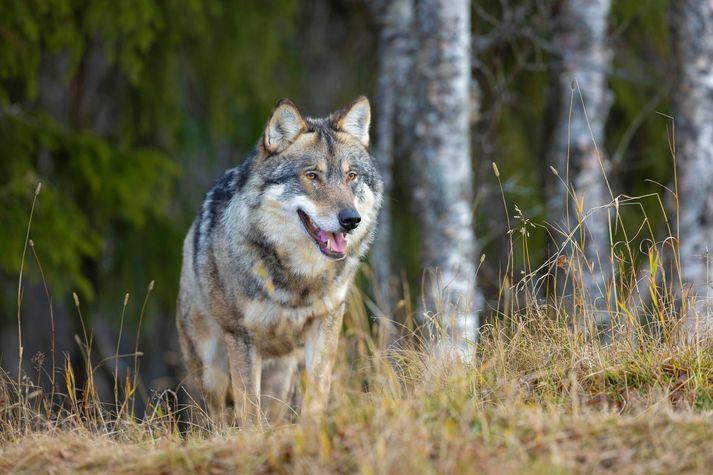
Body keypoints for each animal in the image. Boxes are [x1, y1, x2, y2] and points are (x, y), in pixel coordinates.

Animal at [176, 96, 382, 424]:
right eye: (312, 176)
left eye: (351, 176)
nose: (351, 220)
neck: (300, 279)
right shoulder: (242, 337)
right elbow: (249, 410)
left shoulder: (326, 322)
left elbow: (317, 391)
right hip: (211, 369)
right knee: (216, 416)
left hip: (281, 376)